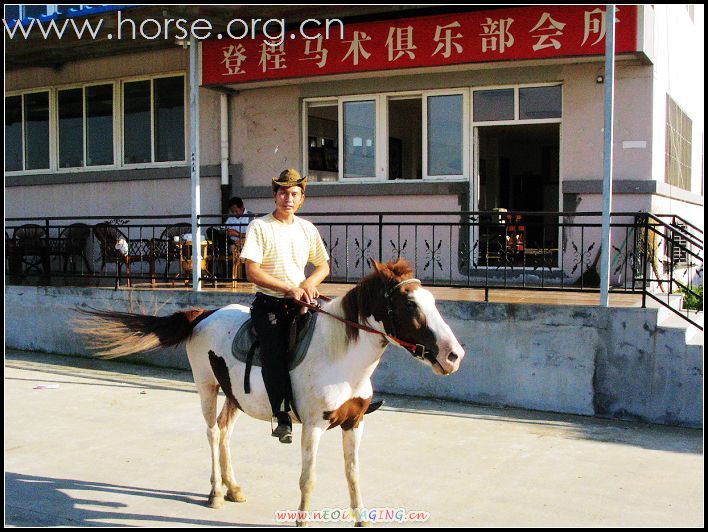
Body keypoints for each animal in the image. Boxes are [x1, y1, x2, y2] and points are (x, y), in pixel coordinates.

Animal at [76, 260, 464, 524]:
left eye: (432, 300)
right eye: (410, 305)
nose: (453, 355)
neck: (339, 357)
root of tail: (203, 314)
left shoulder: (355, 423)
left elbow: (353, 473)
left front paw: (362, 520)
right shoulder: (313, 426)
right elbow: (308, 480)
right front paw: (302, 521)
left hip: (234, 395)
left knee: (225, 433)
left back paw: (233, 488)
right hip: (206, 387)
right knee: (212, 433)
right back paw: (215, 492)